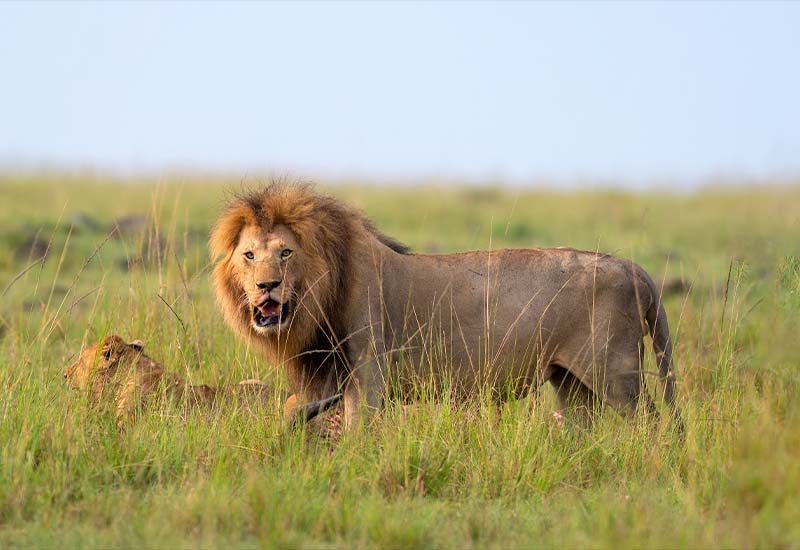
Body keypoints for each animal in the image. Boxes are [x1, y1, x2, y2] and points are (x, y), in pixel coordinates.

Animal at [210, 183, 682, 433]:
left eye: (286, 253)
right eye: (249, 255)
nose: (266, 287)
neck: (319, 296)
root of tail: (631, 267)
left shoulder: (369, 372)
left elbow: (359, 429)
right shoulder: (324, 376)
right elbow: (292, 409)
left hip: (616, 374)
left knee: (650, 422)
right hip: (571, 382)